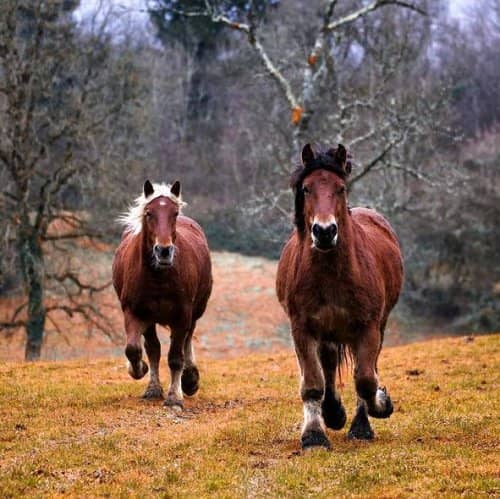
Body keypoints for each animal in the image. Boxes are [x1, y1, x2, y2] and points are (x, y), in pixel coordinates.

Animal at [112, 182, 212, 408]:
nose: (164, 251)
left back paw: (190, 379)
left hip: (195, 312)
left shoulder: (182, 315)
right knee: (153, 348)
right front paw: (140, 371)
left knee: (187, 339)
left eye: (174, 213)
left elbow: (175, 357)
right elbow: (135, 349)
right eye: (149, 213)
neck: (158, 277)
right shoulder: (135, 312)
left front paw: (175, 396)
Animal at [276, 143, 404, 452]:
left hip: (376, 327)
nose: (324, 232)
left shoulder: (368, 327)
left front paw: (379, 407)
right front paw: (314, 435)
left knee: (364, 368)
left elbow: (366, 379)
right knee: (329, 364)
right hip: (328, 332)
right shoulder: (302, 329)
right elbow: (313, 383)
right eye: (306, 188)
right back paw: (332, 413)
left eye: (341, 188)